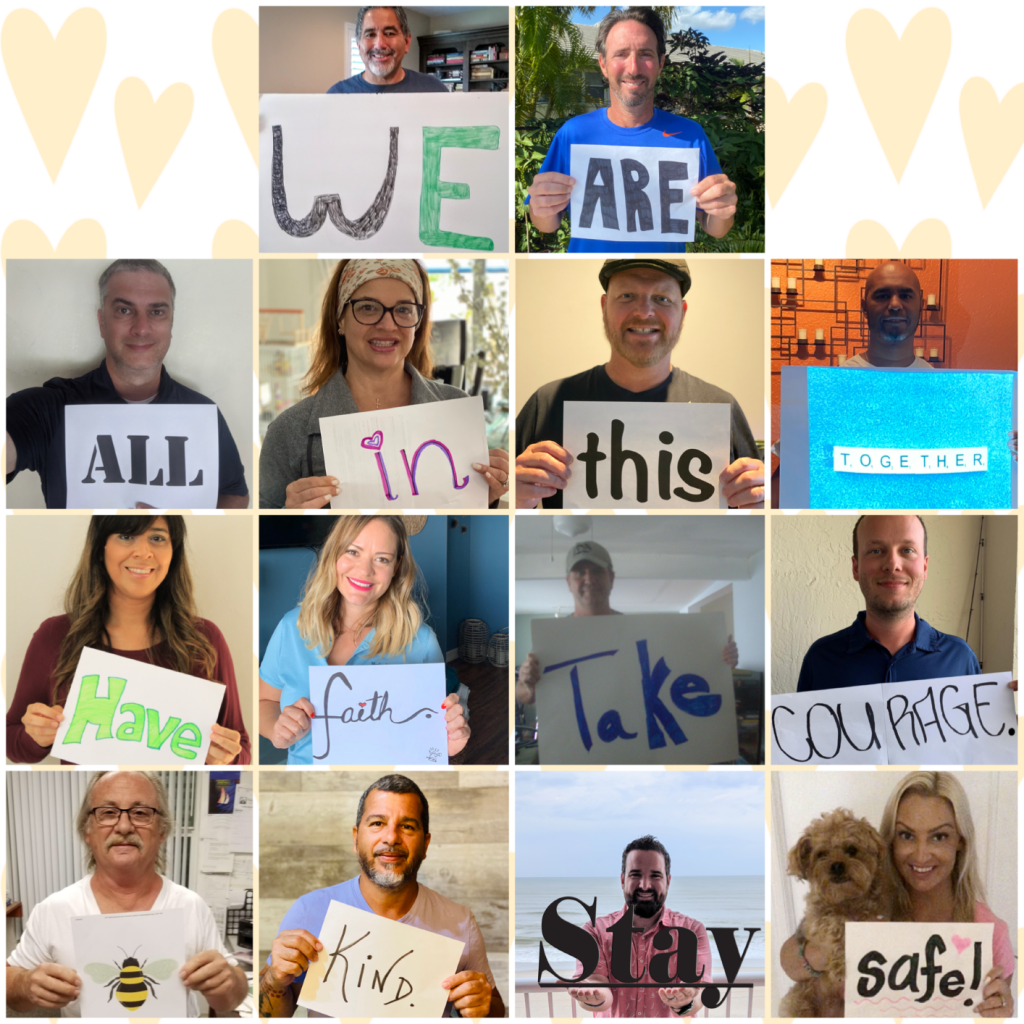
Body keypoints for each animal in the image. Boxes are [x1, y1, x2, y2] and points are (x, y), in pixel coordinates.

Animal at [778, 806, 892, 1015]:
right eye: (821, 854)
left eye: (851, 850)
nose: (837, 865)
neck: (845, 901)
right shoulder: (817, 921)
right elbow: (837, 926)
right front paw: (840, 966)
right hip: (795, 1001)